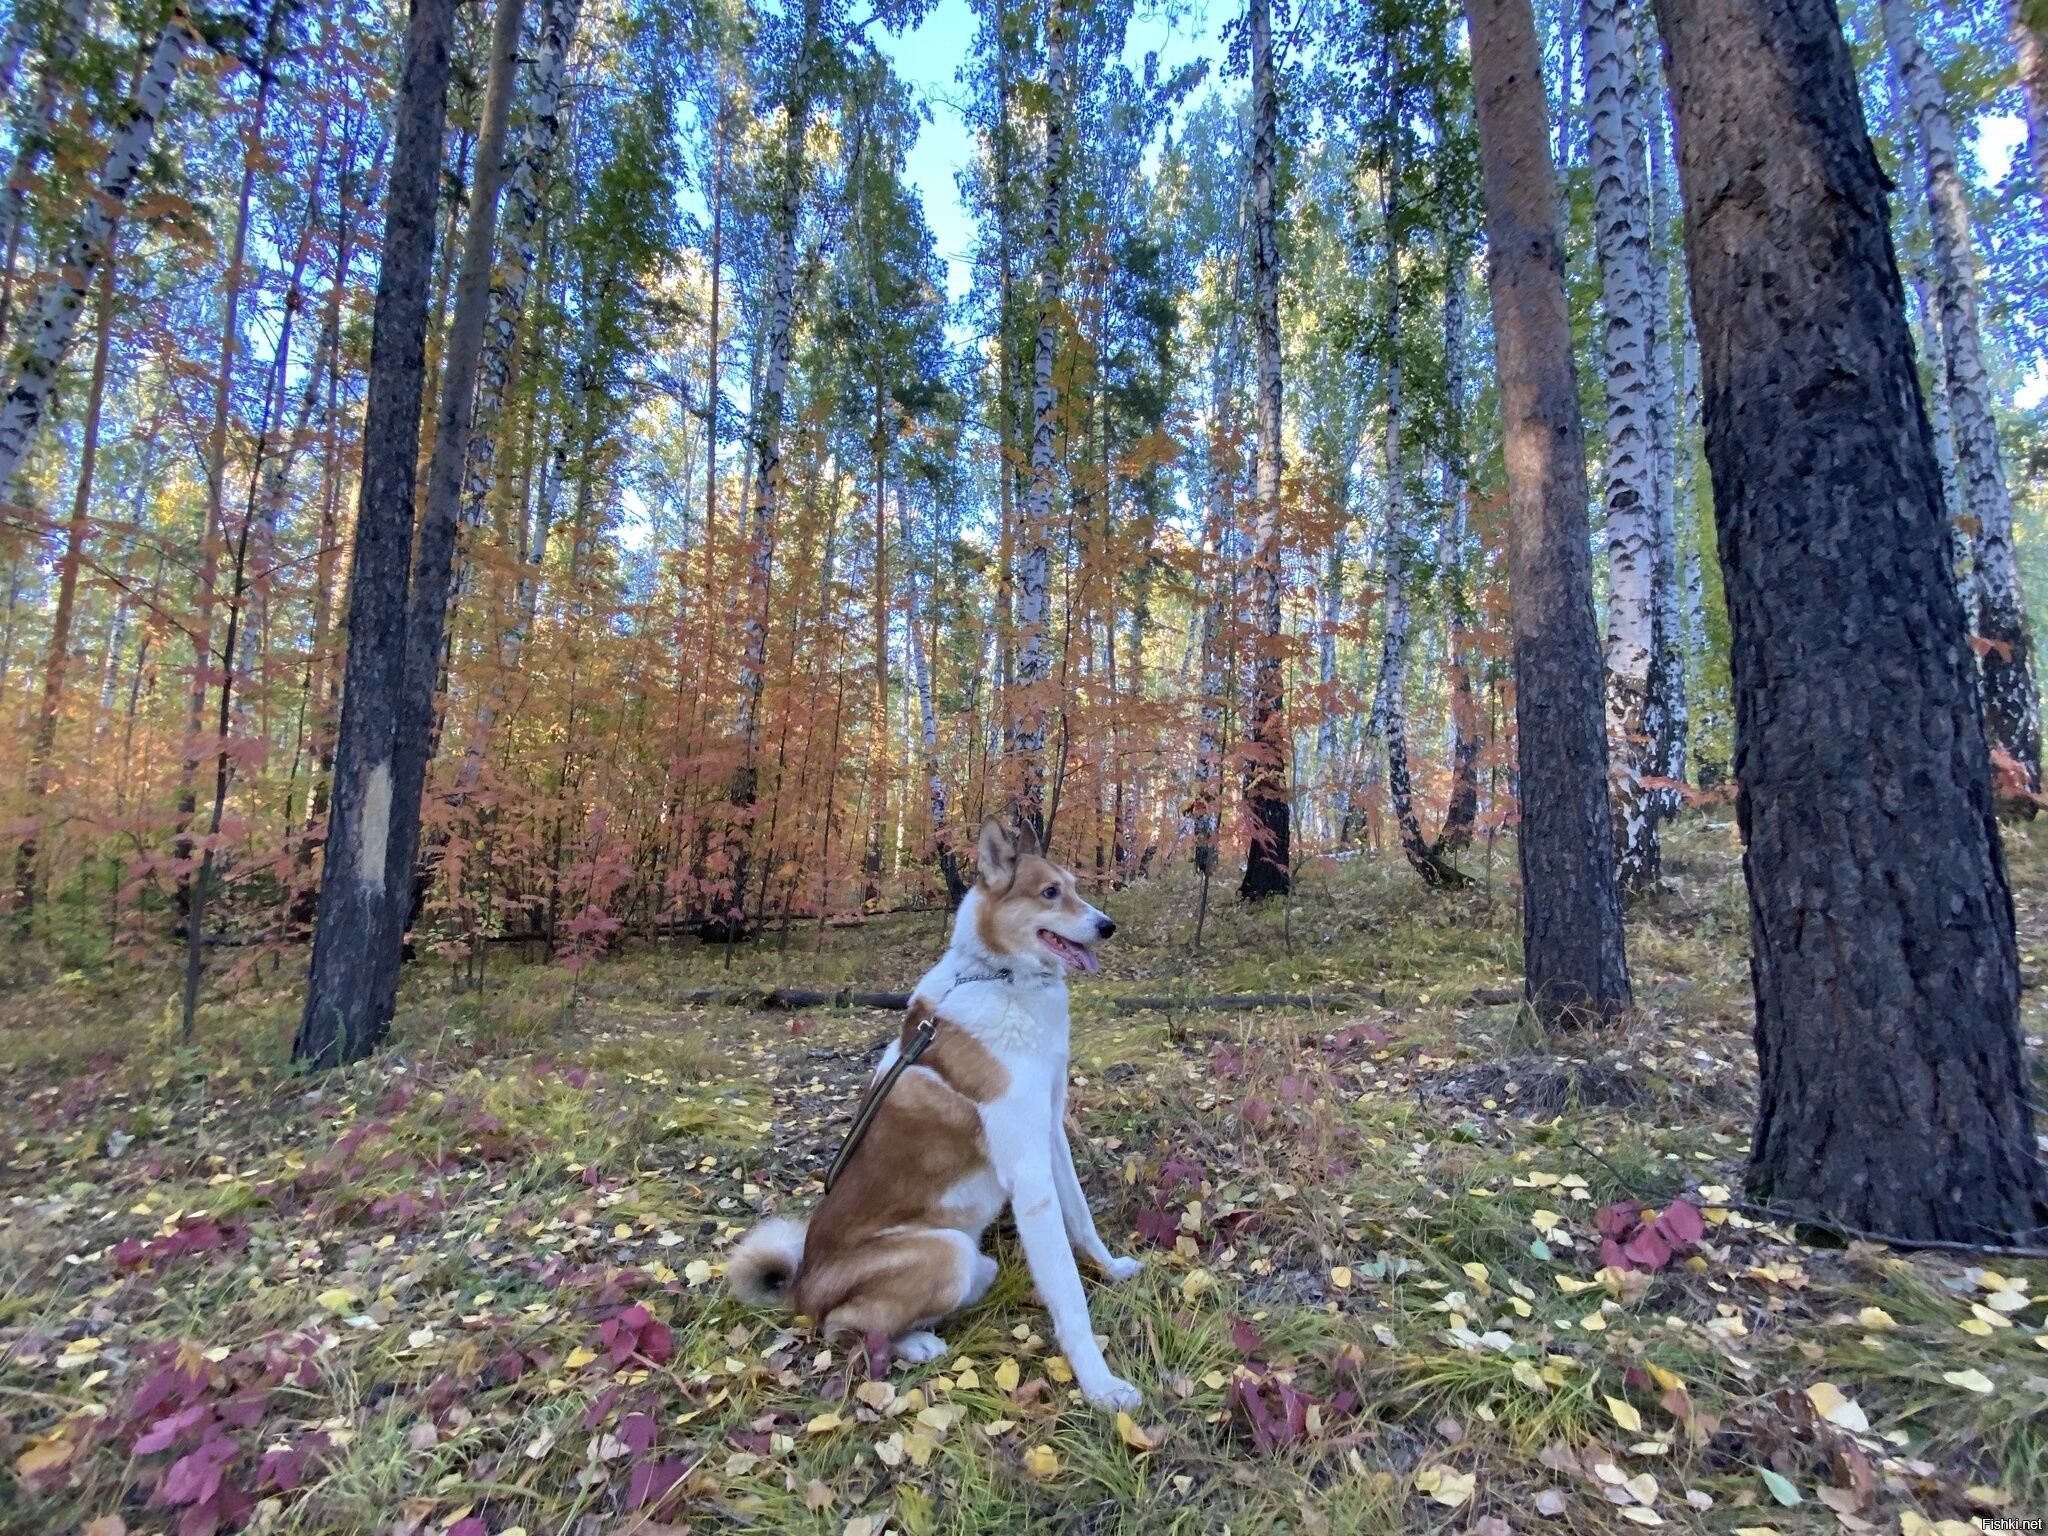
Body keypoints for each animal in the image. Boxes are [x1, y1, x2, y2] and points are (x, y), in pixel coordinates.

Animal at [724, 823, 1146, 1417]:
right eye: (1049, 893)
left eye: (1075, 888)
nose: (1107, 926)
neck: (1000, 977)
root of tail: (802, 1287)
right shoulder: (1028, 1172)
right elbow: (1068, 1294)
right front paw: (1100, 1386)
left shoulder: (1048, 1136)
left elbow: (1082, 1220)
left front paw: (1111, 1269)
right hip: (946, 1254)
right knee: (840, 1327)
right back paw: (914, 1344)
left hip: (973, 1261)